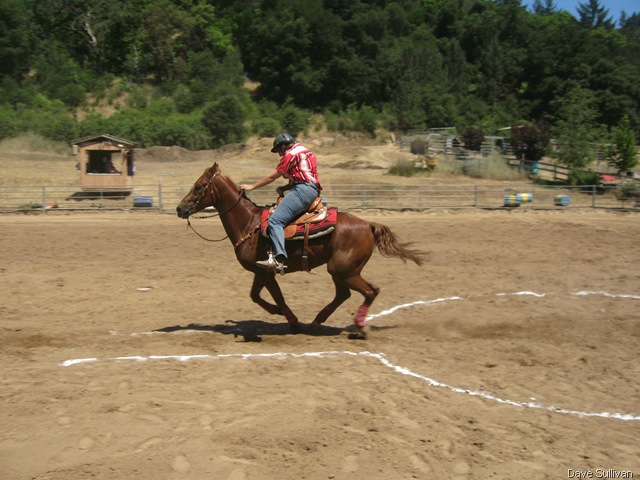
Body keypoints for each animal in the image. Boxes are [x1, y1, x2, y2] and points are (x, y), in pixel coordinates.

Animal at [176, 162, 425, 338]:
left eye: (198, 186)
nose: (180, 208)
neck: (249, 223)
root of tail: (368, 225)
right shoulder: (260, 271)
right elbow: (255, 296)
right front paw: (281, 314)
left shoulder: (267, 271)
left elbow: (276, 296)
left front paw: (290, 319)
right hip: (340, 271)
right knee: (344, 294)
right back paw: (317, 321)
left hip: (344, 270)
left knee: (370, 291)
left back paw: (359, 327)